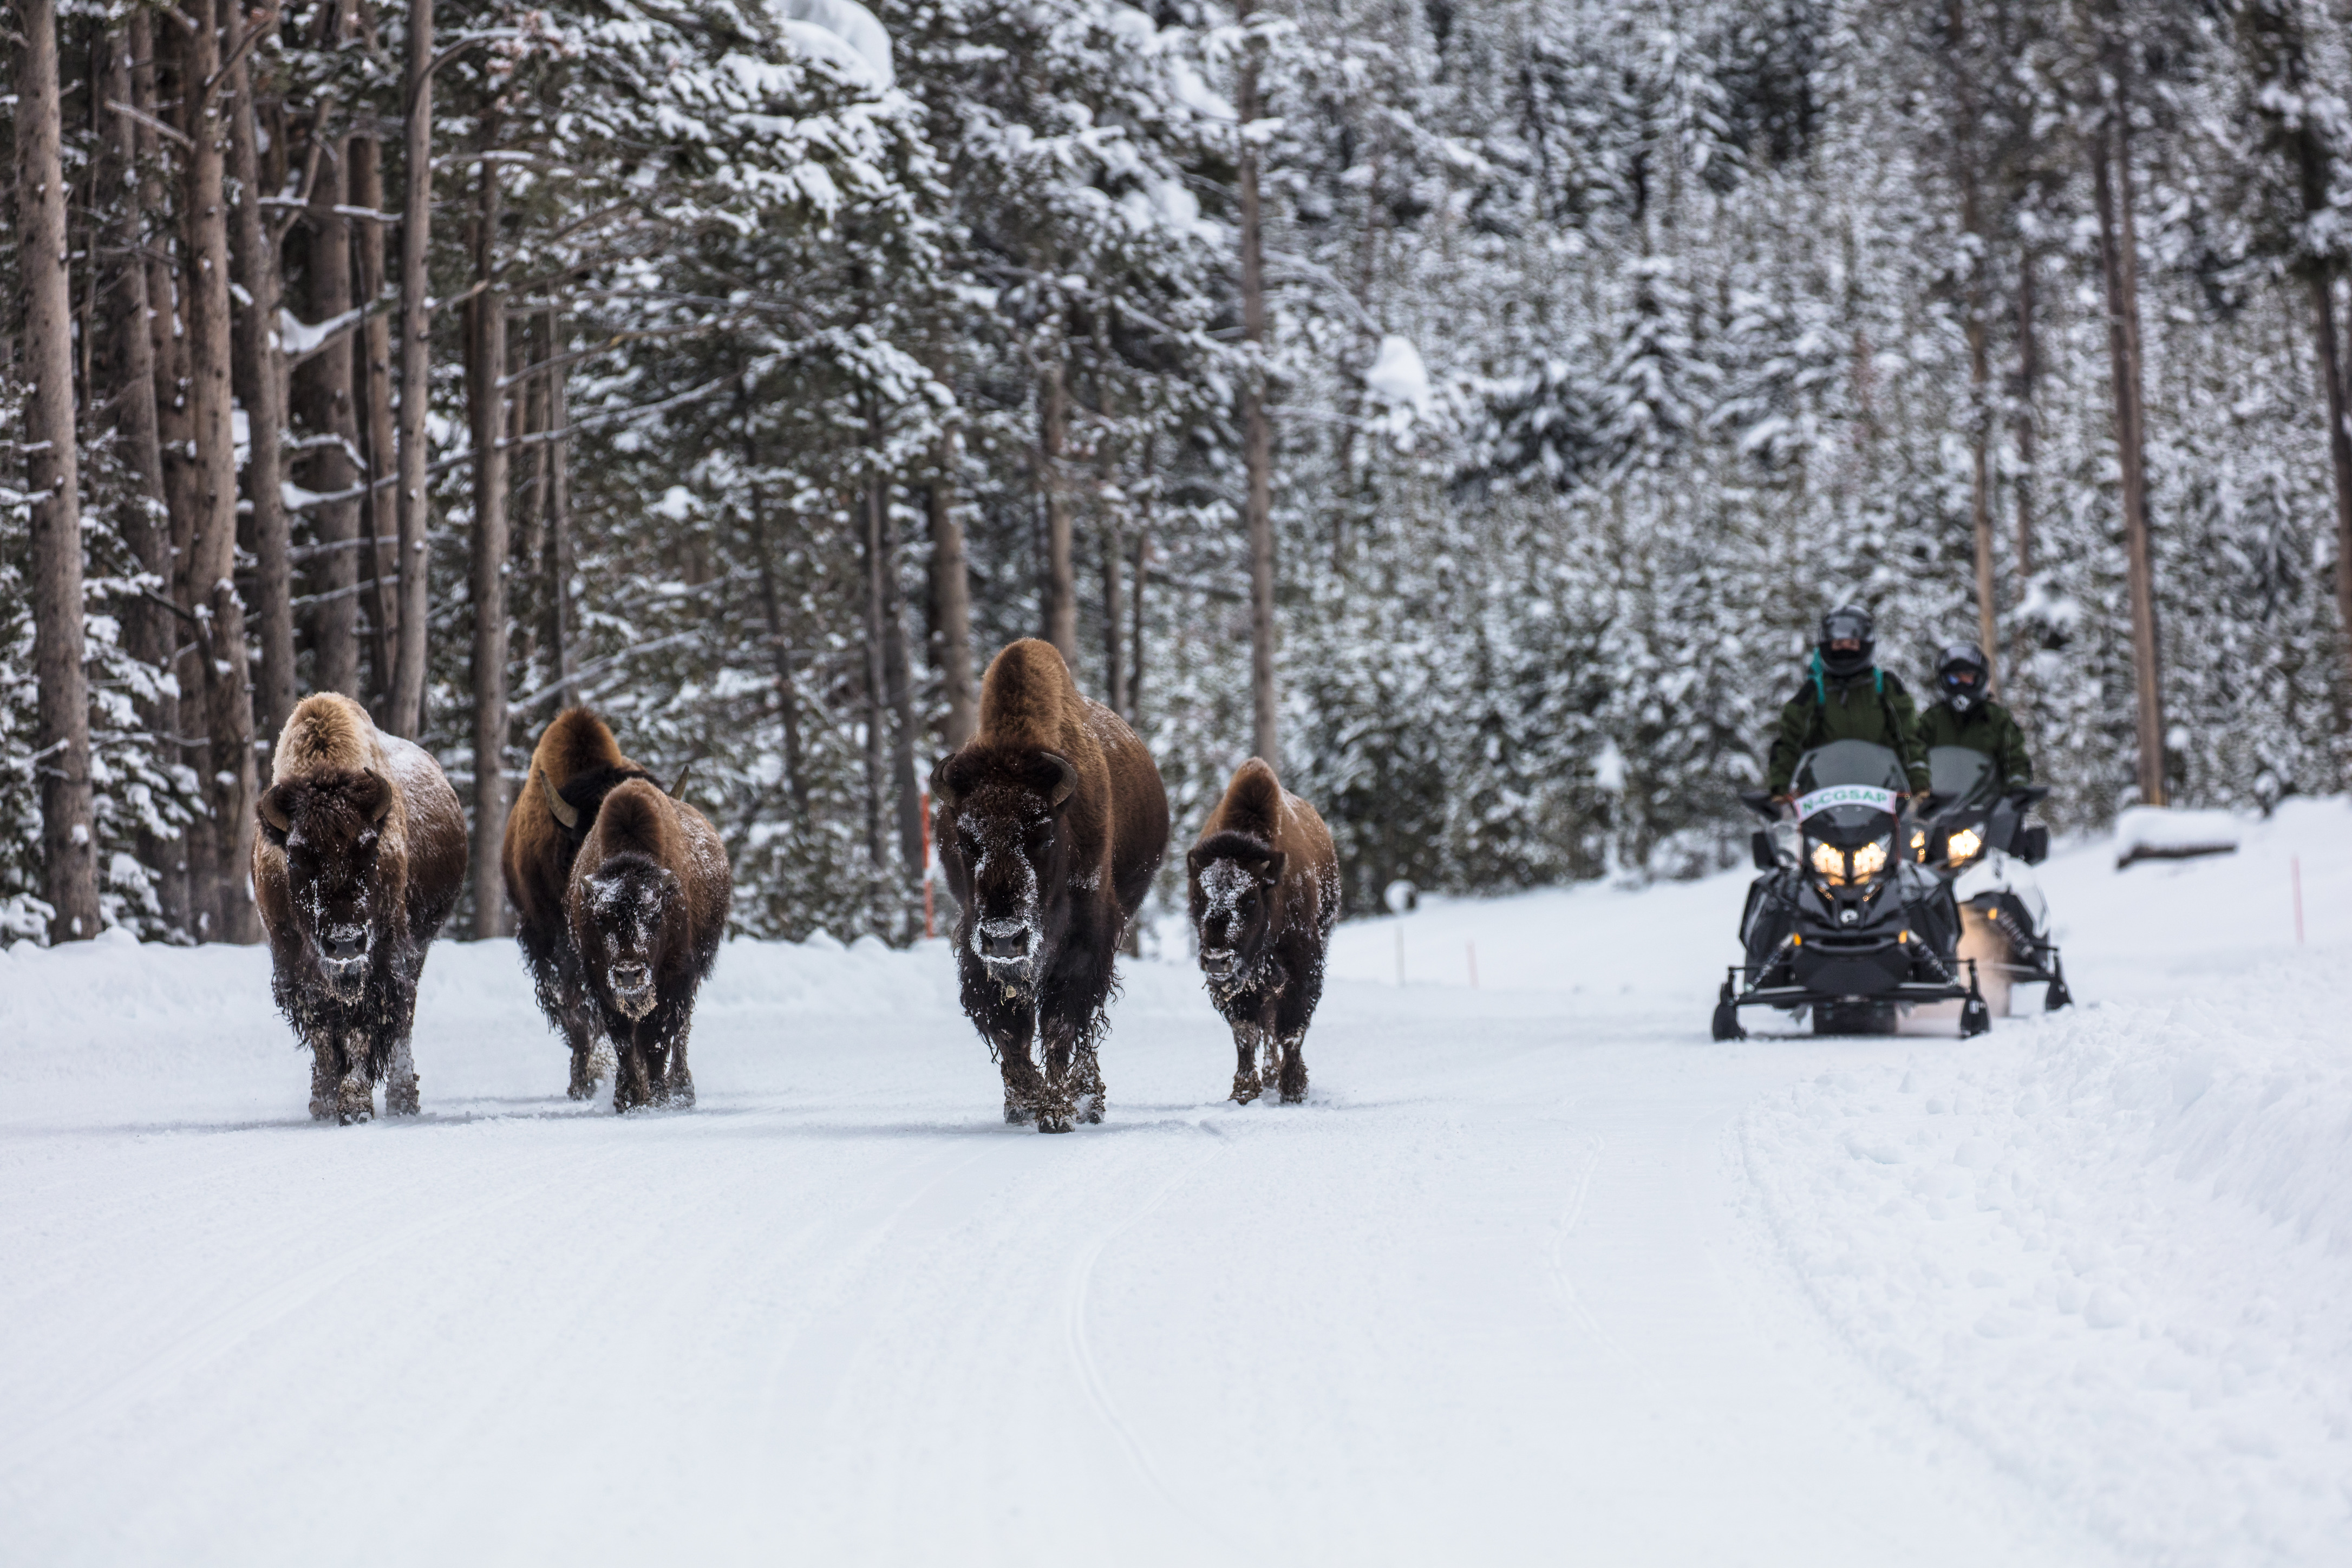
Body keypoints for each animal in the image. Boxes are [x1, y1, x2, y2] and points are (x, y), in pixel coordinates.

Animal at [255, 691, 466, 1123]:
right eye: (297, 856)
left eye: (369, 849)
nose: (344, 942)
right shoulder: (294, 961)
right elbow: (322, 1027)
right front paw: (324, 1102)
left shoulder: (381, 958)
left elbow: (360, 1027)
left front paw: (355, 1106)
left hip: (415, 949)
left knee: (403, 1016)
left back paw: (403, 1101)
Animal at [559, 780, 724, 1109]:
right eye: (600, 919)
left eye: (656, 915)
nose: (628, 973)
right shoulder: (599, 978)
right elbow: (623, 1037)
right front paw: (628, 1098)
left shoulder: (676, 975)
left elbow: (657, 1037)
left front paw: (658, 1098)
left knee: (681, 1031)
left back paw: (682, 1089)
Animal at [926, 644, 1166, 1133]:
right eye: (965, 839)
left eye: (1043, 834)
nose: (1004, 937)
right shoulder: (977, 950)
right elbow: (1008, 1029)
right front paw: (1025, 1101)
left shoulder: (1086, 942)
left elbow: (1061, 1025)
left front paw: (1056, 1111)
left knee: (1086, 1031)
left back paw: (1089, 1099)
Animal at [1194, 757, 1345, 1105]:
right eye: (1200, 896)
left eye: (1250, 898)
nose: (1217, 960)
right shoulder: (1239, 987)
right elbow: (1246, 1033)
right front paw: (1244, 1092)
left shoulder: (1302, 968)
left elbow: (1291, 1029)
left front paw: (1294, 1089)